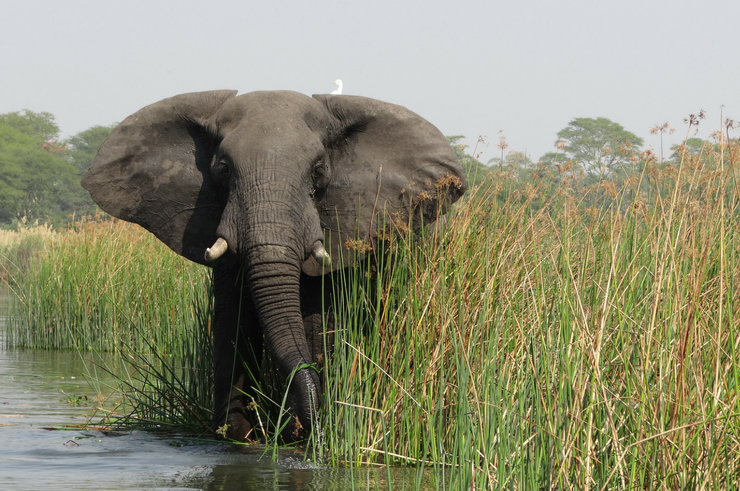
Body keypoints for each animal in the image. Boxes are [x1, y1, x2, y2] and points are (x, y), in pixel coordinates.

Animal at [82, 89, 468, 442]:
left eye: (318, 171)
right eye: (223, 169)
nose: (310, 430)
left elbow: (317, 322)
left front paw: (299, 434)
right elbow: (234, 322)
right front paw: (238, 436)